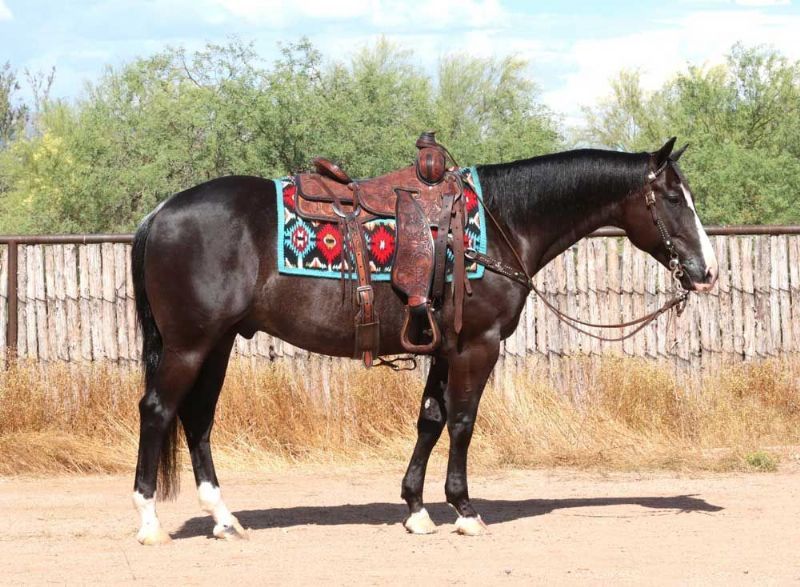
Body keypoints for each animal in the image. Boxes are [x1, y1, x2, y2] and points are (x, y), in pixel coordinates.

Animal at [131, 137, 718, 544]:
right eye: (672, 197)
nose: (707, 271)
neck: (503, 223)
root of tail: (158, 213)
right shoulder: (478, 345)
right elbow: (462, 423)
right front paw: (465, 510)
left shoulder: (442, 347)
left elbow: (431, 420)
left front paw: (415, 509)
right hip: (190, 344)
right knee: (159, 411)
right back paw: (150, 521)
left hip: (218, 344)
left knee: (198, 420)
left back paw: (224, 519)